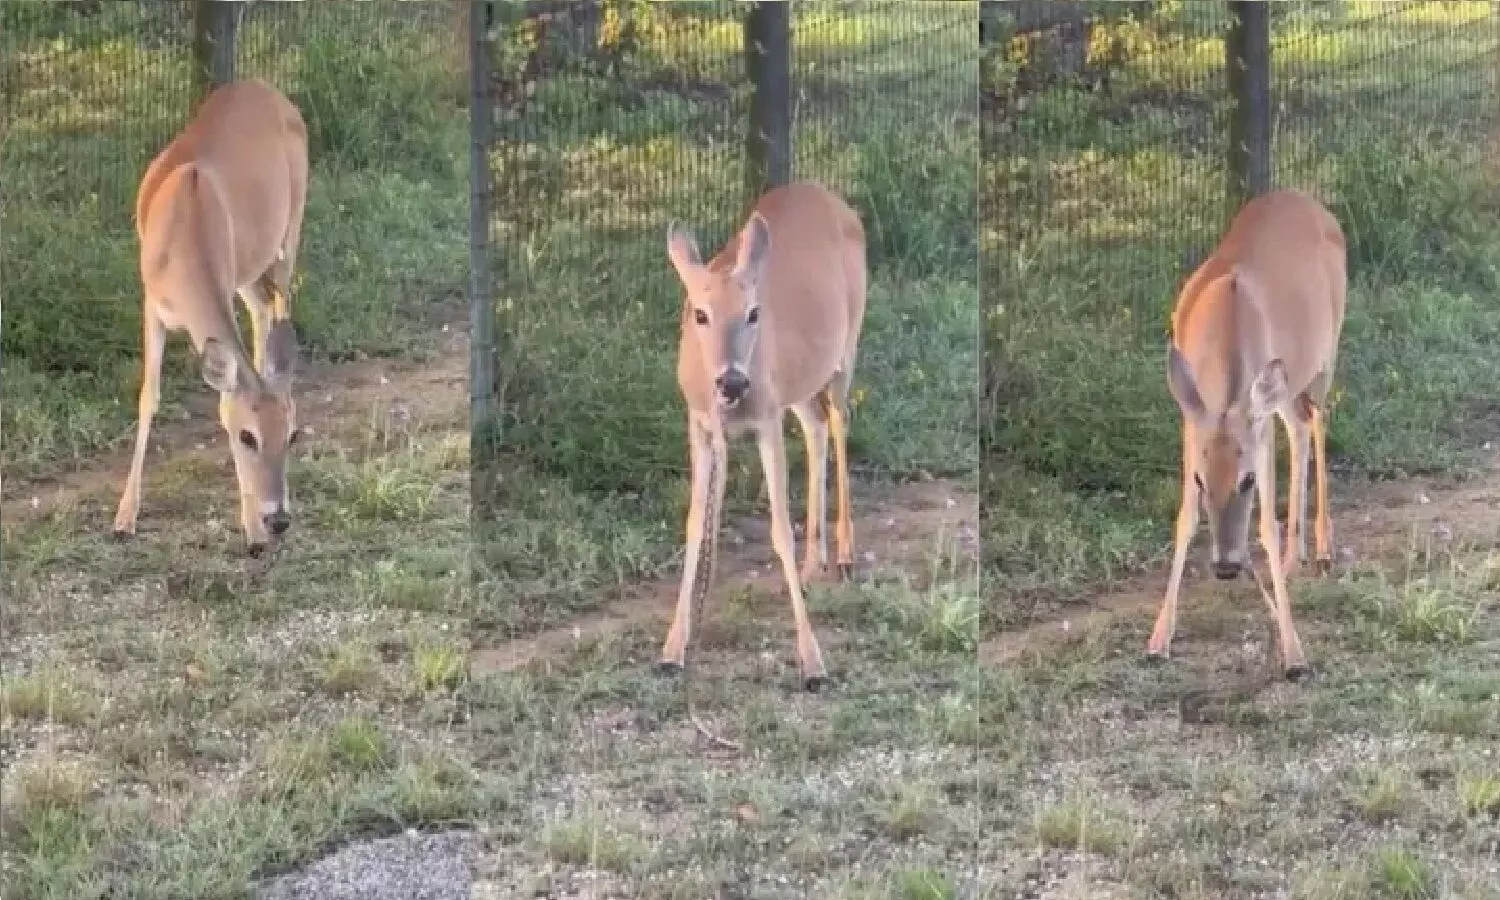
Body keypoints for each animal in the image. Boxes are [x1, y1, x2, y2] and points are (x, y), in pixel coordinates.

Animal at [113, 79, 310, 555]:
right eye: (247, 436)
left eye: (293, 435)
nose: (278, 519)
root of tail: (268, 88)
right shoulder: (152, 303)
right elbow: (149, 395)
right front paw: (124, 516)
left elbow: (222, 398)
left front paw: (252, 530)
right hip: (251, 266)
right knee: (264, 310)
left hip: (289, 228)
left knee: (279, 307)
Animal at [657, 177, 870, 702]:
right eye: (699, 314)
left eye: (754, 313)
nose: (733, 382)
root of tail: (828, 196)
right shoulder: (700, 423)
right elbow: (695, 524)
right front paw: (673, 648)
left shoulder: (766, 419)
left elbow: (778, 531)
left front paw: (813, 663)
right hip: (798, 383)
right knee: (816, 426)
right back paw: (816, 565)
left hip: (846, 347)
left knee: (839, 422)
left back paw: (845, 555)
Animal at [1146, 191, 1350, 681]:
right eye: (1200, 481)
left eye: (1248, 482)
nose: (1224, 567)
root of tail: (1309, 199)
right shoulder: (1192, 417)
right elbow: (1184, 518)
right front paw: (1159, 638)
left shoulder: (1255, 426)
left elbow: (1266, 525)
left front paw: (1294, 654)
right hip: (1286, 387)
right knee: (1299, 425)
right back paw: (1297, 559)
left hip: (1326, 353)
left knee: (1317, 421)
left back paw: (1323, 548)